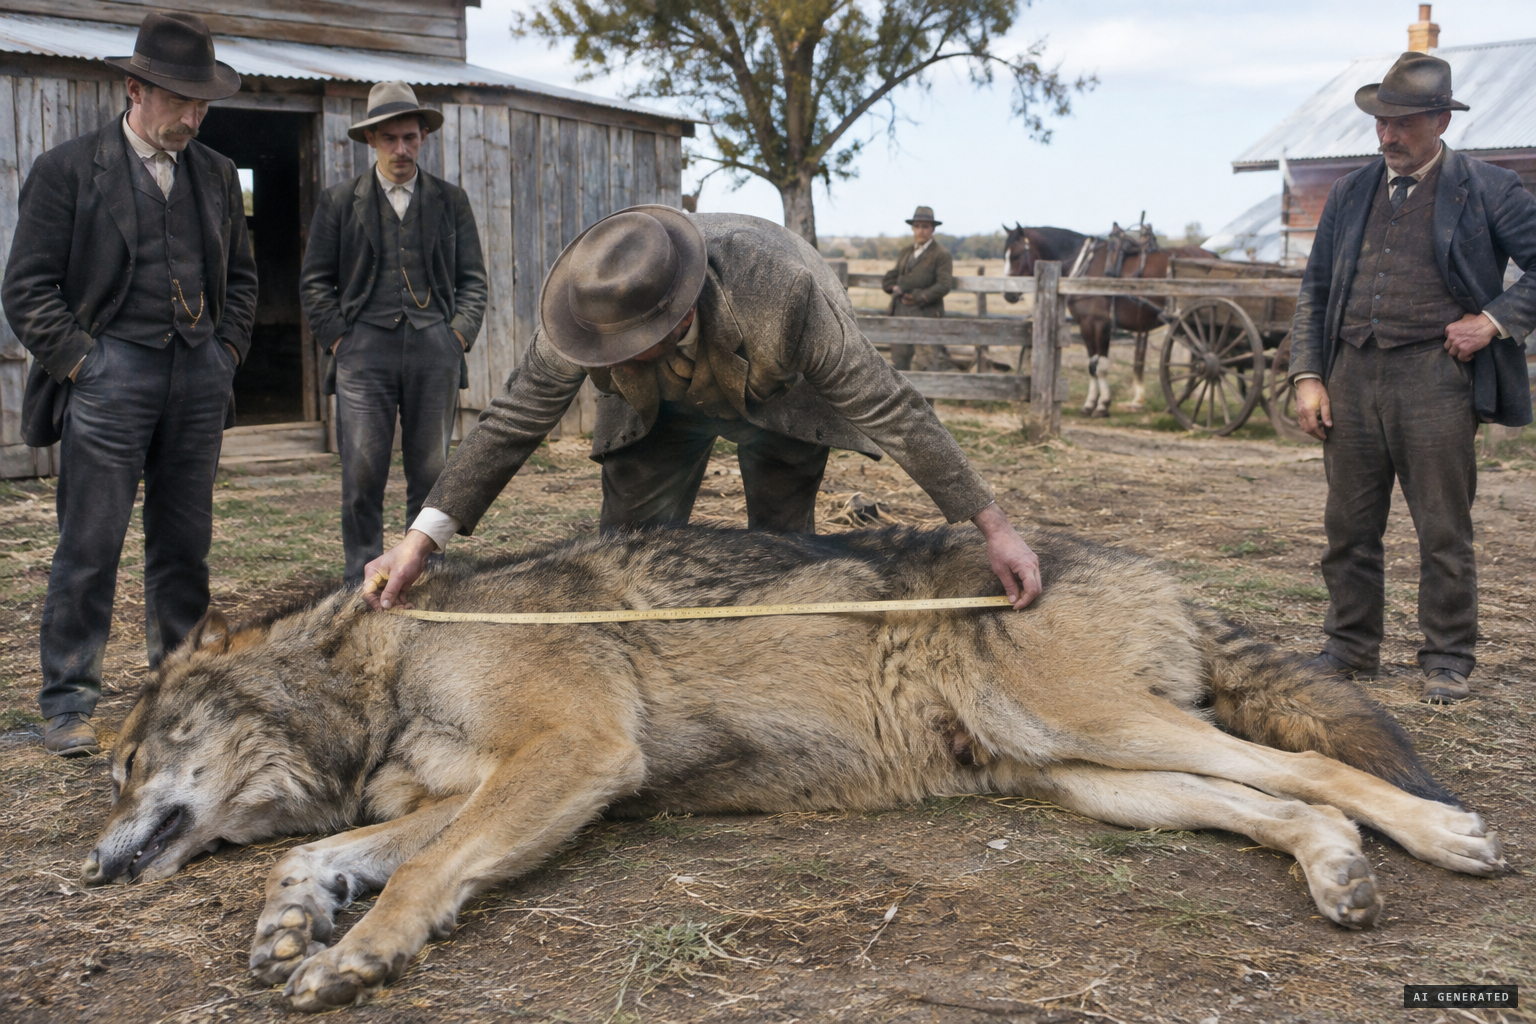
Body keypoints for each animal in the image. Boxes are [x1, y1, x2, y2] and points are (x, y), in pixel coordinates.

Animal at [81, 527, 1505, 1012]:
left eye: (130, 761)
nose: (94, 867)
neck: (385, 663)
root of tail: (1147, 563)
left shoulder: (567, 758)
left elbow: (418, 876)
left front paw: (353, 953)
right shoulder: (472, 789)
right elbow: (335, 851)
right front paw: (288, 918)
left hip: (1109, 732)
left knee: (1316, 769)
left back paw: (1441, 839)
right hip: (1094, 776)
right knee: (1271, 802)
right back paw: (1336, 875)